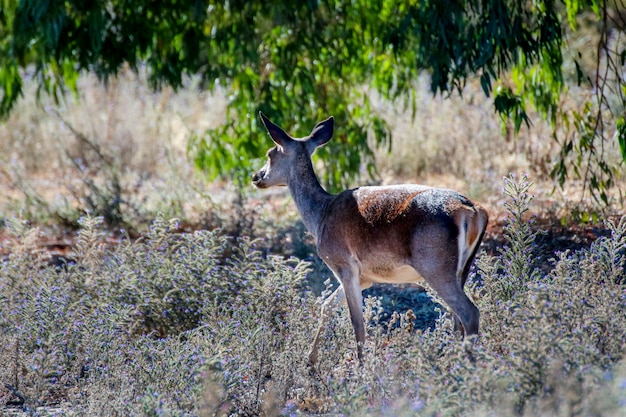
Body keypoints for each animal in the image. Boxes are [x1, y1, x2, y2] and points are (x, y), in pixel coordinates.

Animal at [251, 111, 486, 368]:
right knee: (457, 319)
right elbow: (326, 306)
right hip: (461, 269)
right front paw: (310, 361)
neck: (320, 216)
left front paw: (361, 368)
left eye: (270, 153)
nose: (256, 176)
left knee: (469, 313)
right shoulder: (365, 277)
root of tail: (473, 211)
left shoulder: (344, 265)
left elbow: (357, 323)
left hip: (434, 265)